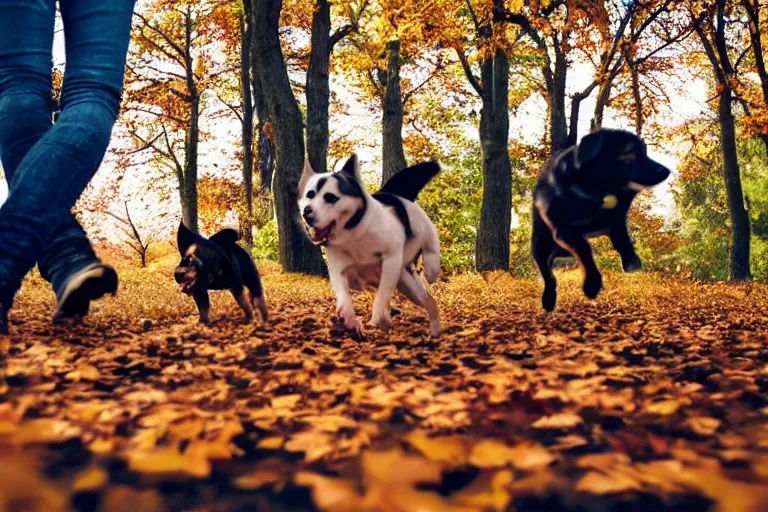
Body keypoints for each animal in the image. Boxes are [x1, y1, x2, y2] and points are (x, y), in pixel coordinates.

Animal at [300, 155, 444, 340]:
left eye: (330, 198)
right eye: (309, 195)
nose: (306, 211)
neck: (354, 233)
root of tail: (391, 192)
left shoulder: (391, 260)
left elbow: (383, 292)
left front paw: (380, 317)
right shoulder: (339, 270)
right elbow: (343, 292)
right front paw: (348, 317)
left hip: (420, 235)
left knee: (430, 244)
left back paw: (432, 270)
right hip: (408, 285)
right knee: (430, 301)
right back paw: (435, 331)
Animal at [532, 128, 668, 312]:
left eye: (645, 152)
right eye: (629, 153)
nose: (666, 171)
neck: (598, 192)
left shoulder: (617, 220)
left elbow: (622, 240)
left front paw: (631, 261)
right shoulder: (563, 230)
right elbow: (584, 248)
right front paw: (592, 283)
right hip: (540, 246)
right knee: (548, 275)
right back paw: (548, 299)